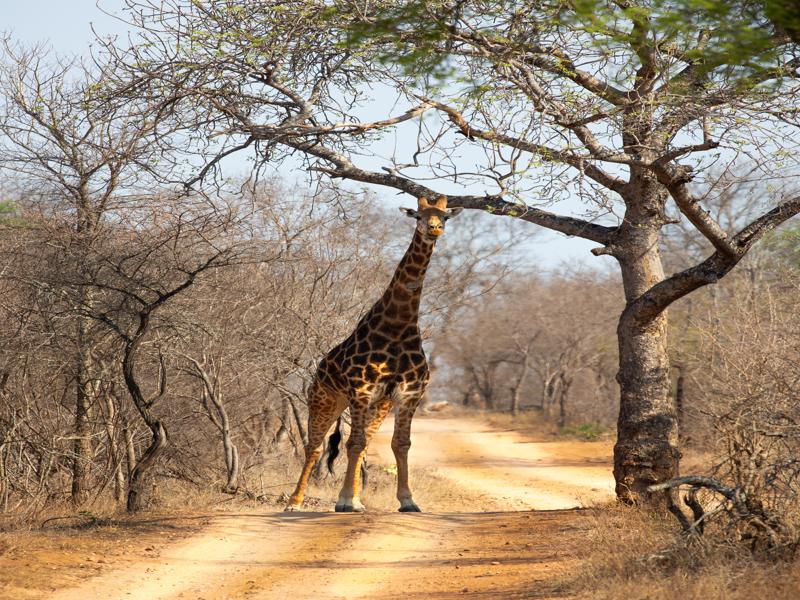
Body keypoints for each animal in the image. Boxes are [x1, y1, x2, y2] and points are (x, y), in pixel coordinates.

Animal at [285, 195, 463, 512]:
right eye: (418, 215)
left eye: (444, 217)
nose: (434, 229)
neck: (398, 325)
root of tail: (318, 369)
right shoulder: (360, 390)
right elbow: (352, 443)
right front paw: (345, 501)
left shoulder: (408, 394)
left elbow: (401, 444)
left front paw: (407, 500)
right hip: (324, 399)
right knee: (314, 447)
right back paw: (295, 502)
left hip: (378, 405)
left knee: (363, 442)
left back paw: (354, 498)